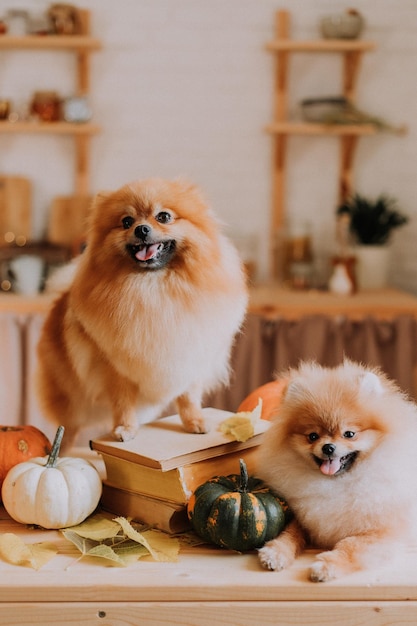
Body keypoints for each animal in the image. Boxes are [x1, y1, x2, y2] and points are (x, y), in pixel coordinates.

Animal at [35, 178, 247, 446]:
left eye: (163, 216)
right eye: (127, 221)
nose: (142, 229)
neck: (152, 287)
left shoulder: (190, 355)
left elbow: (188, 397)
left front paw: (194, 422)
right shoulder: (115, 368)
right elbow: (123, 402)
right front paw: (125, 428)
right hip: (72, 400)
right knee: (69, 427)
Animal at [255, 358, 416, 584]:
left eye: (349, 434)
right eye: (312, 436)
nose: (328, 447)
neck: (338, 483)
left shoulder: (382, 531)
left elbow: (350, 545)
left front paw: (326, 566)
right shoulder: (307, 518)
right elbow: (291, 531)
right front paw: (275, 553)